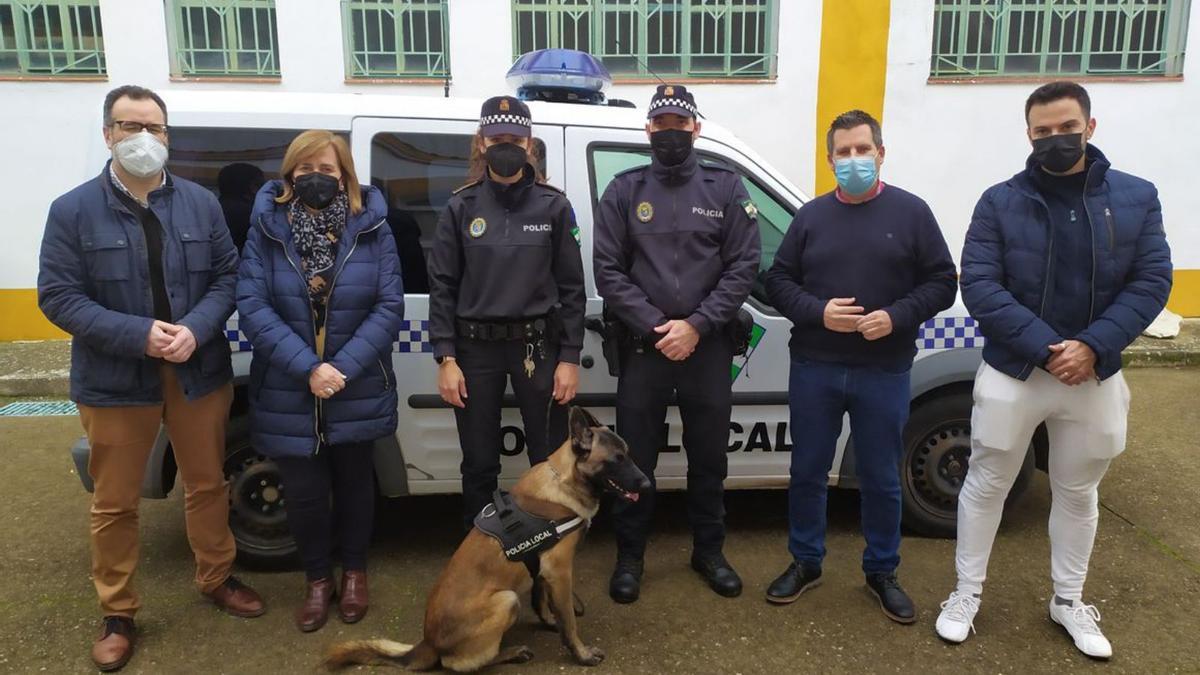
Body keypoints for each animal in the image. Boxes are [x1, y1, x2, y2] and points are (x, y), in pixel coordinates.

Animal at [324, 401, 652, 667]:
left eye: (628, 454)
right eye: (617, 459)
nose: (648, 484)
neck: (563, 481)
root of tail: (428, 643)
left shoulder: (541, 569)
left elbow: (541, 599)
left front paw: (549, 622)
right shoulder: (560, 571)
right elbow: (569, 622)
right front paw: (581, 654)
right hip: (506, 600)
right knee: (457, 663)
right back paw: (511, 653)